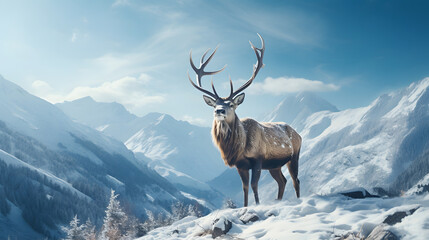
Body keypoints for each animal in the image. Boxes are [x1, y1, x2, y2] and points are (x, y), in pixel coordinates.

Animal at [187, 33, 300, 206]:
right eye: (215, 105)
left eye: (231, 104)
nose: (219, 111)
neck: (239, 147)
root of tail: (298, 134)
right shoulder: (241, 165)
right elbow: (245, 188)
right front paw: (246, 206)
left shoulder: (258, 159)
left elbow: (254, 185)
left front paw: (258, 205)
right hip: (274, 165)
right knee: (282, 181)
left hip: (294, 156)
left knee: (295, 180)